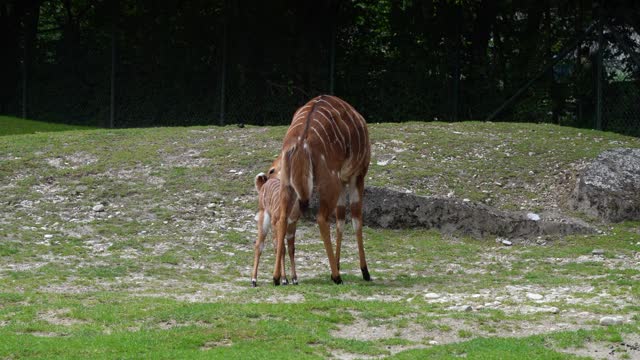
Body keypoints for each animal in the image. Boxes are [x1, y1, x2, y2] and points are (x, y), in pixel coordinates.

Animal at [272, 94, 370, 286]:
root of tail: (301, 141)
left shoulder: (343, 182)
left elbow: (341, 219)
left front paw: (338, 263)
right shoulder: (356, 177)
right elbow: (356, 219)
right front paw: (364, 271)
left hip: (288, 185)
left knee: (283, 217)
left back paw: (277, 277)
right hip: (331, 184)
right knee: (321, 218)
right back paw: (336, 276)